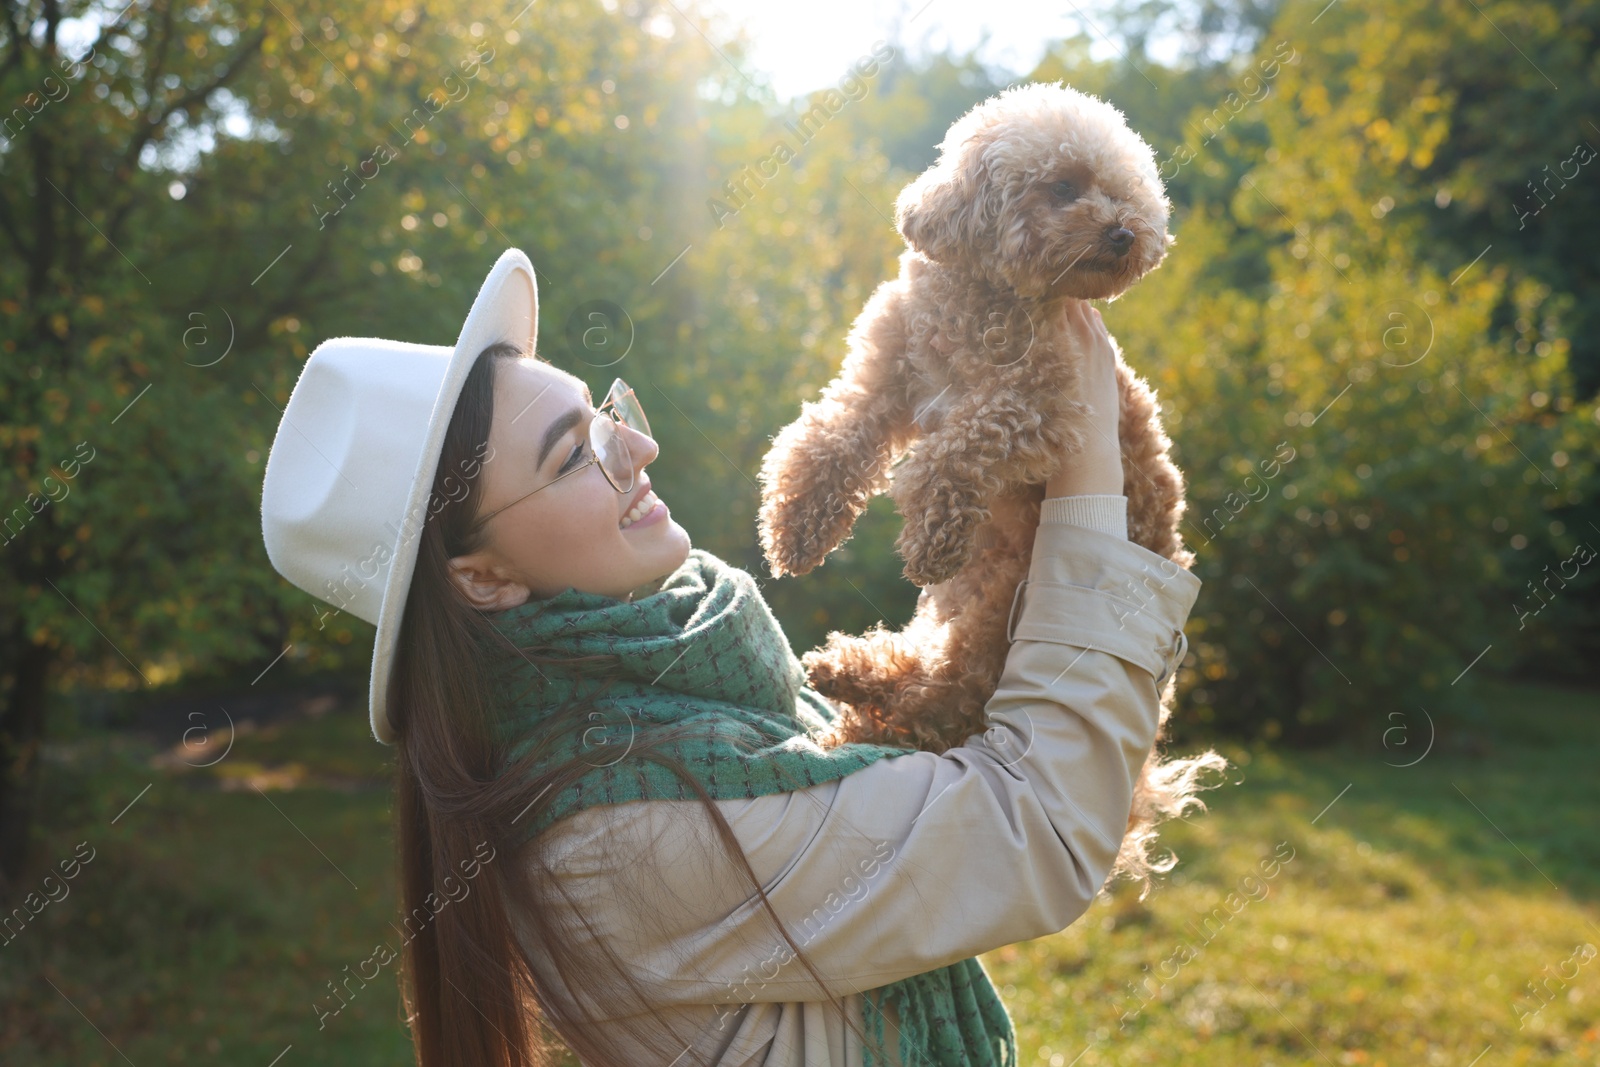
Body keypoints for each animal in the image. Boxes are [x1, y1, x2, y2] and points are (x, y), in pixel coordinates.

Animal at [755, 81, 1216, 883]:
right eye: (1063, 187)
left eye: (1121, 190)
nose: (1126, 233)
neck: (984, 301)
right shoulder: (883, 379)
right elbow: (828, 438)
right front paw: (794, 526)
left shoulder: (1043, 409)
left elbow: (957, 447)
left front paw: (932, 539)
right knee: (920, 702)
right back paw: (844, 677)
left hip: (990, 623)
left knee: (936, 700)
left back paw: (848, 679)